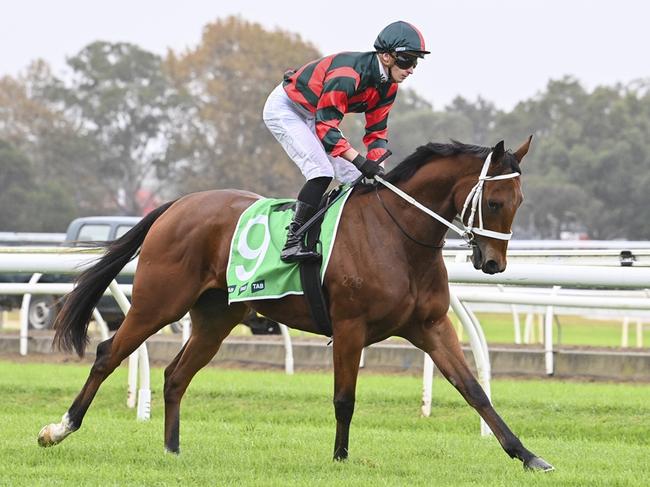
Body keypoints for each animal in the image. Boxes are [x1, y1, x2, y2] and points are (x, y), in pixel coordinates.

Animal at [35, 137, 552, 472]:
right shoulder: (349, 326)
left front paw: (527, 455)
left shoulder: (430, 326)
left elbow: (475, 390)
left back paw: (172, 451)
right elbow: (345, 398)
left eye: (521, 200)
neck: (398, 235)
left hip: (215, 318)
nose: (493, 263)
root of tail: (178, 204)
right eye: (496, 200)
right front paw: (340, 459)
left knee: (176, 375)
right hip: (157, 303)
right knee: (109, 354)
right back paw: (59, 428)